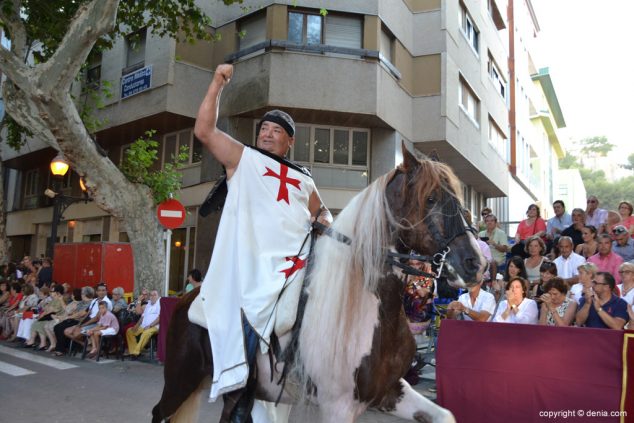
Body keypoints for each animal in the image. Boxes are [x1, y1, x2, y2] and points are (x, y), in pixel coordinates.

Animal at [151, 147, 482, 423]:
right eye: (431, 198)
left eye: (459, 198)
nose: (475, 263)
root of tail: (187, 299)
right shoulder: (339, 406)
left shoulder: (389, 391)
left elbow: (446, 415)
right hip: (182, 378)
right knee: (159, 412)